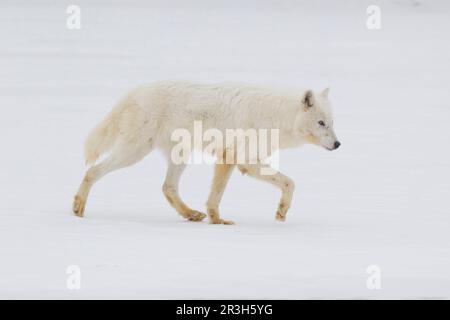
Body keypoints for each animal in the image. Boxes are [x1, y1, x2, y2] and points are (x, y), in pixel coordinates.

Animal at [73, 81, 342, 224]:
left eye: (331, 122)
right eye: (321, 123)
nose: (338, 144)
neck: (276, 116)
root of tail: (132, 92)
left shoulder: (236, 160)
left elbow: (286, 184)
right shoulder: (241, 161)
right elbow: (288, 182)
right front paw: (221, 221)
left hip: (178, 156)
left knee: (167, 187)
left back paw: (191, 214)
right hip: (134, 152)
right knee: (92, 171)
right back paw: (78, 208)